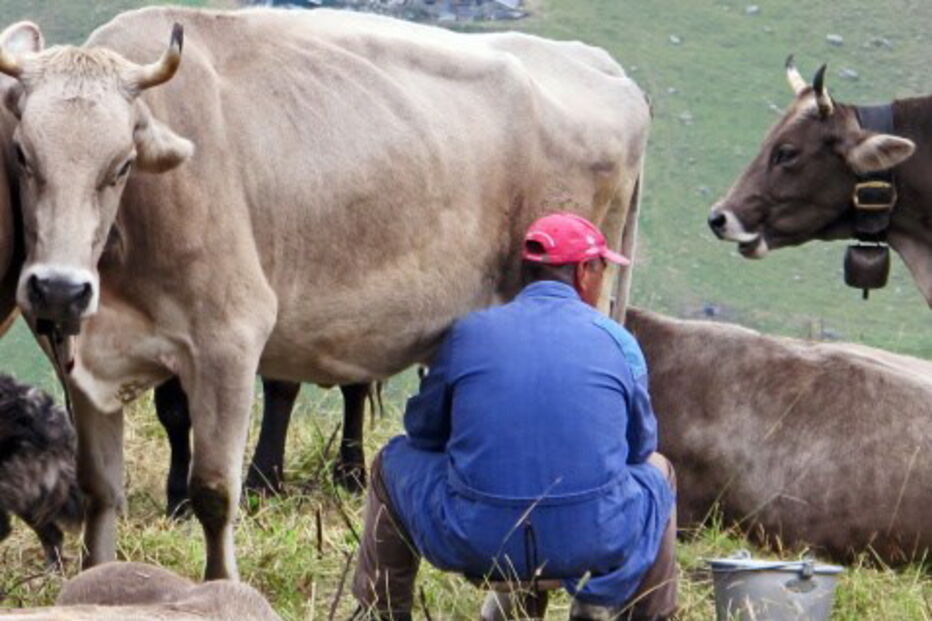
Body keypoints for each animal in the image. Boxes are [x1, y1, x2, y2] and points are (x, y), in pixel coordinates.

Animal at [0, 7, 649, 579]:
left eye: (122, 164)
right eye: (22, 154)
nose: (59, 288)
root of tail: (601, 67)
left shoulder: (229, 340)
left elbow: (215, 492)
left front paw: (220, 582)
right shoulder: (84, 360)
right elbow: (100, 490)